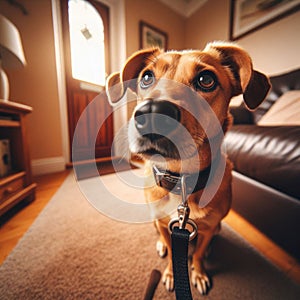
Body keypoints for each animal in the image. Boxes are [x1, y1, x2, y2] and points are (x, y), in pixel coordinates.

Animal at [106, 42, 272, 296]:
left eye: (206, 79)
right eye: (146, 77)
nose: (152, 111)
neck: (181, 180)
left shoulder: (208, 228)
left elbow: (199, 254)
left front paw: (198, 272)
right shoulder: (166, 226)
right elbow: (171, 250)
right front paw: (170, 272)